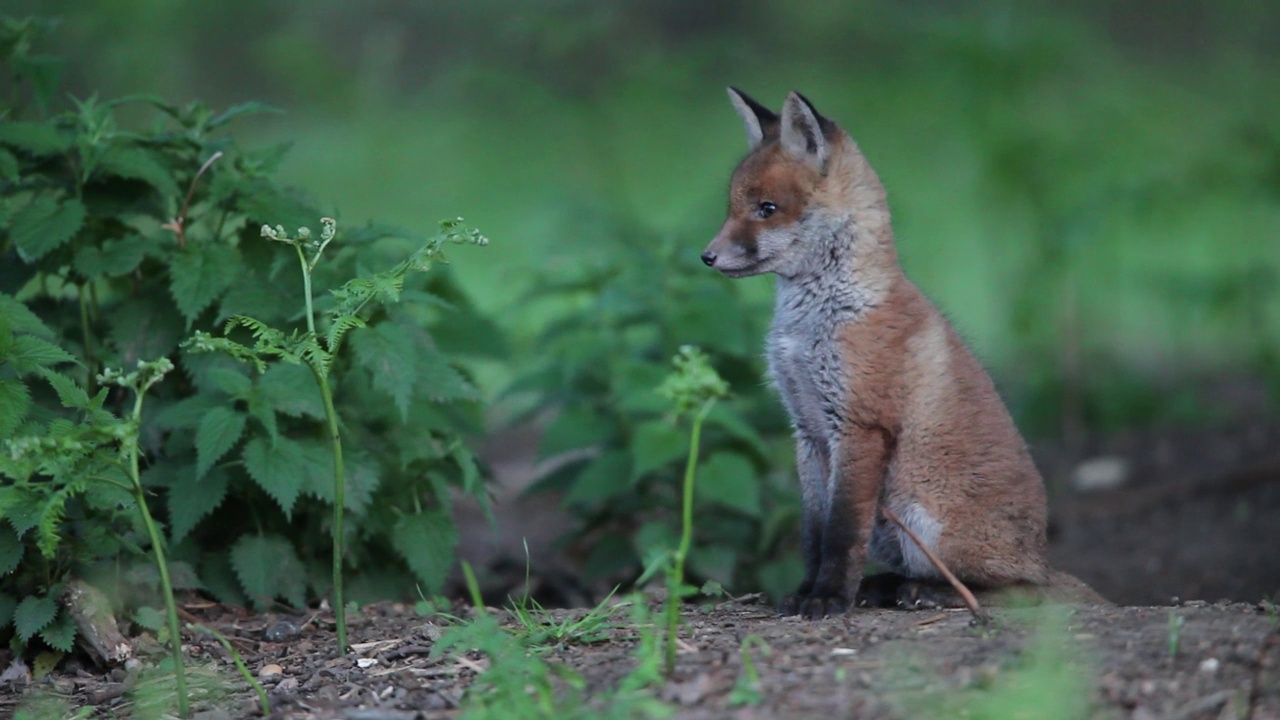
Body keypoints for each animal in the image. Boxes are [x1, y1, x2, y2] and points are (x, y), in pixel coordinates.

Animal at [696, 88, 1105, 617]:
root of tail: (1043, 560)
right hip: (891, 526)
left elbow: (839, 534)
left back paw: (935, 593)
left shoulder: (861, 425)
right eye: (732, 207)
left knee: (1017, 590)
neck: (818, 319)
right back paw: (888, 587)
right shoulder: (806, 430)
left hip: (923, 516)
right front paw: (807, 590)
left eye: (767, 208)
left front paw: (828, 597)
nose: (706, 256)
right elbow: (813, 532)